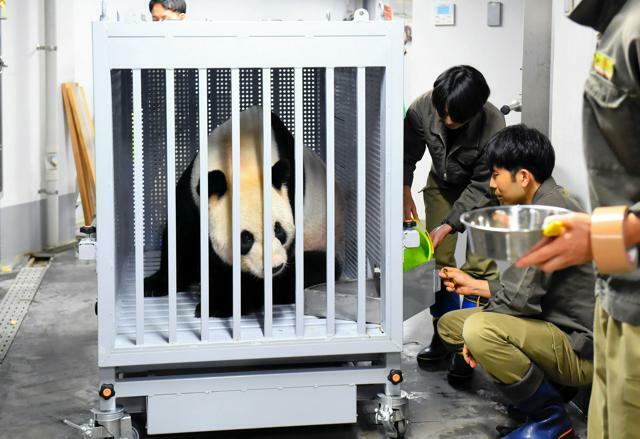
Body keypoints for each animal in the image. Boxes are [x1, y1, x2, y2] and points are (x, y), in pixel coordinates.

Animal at [145, 106, 344, 320]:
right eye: (245, 238)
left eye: (279, 231)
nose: (275, 267)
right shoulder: (193, 190)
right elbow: (182, 234)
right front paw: (156, 283)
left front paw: (220, 304)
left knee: (314, 267)